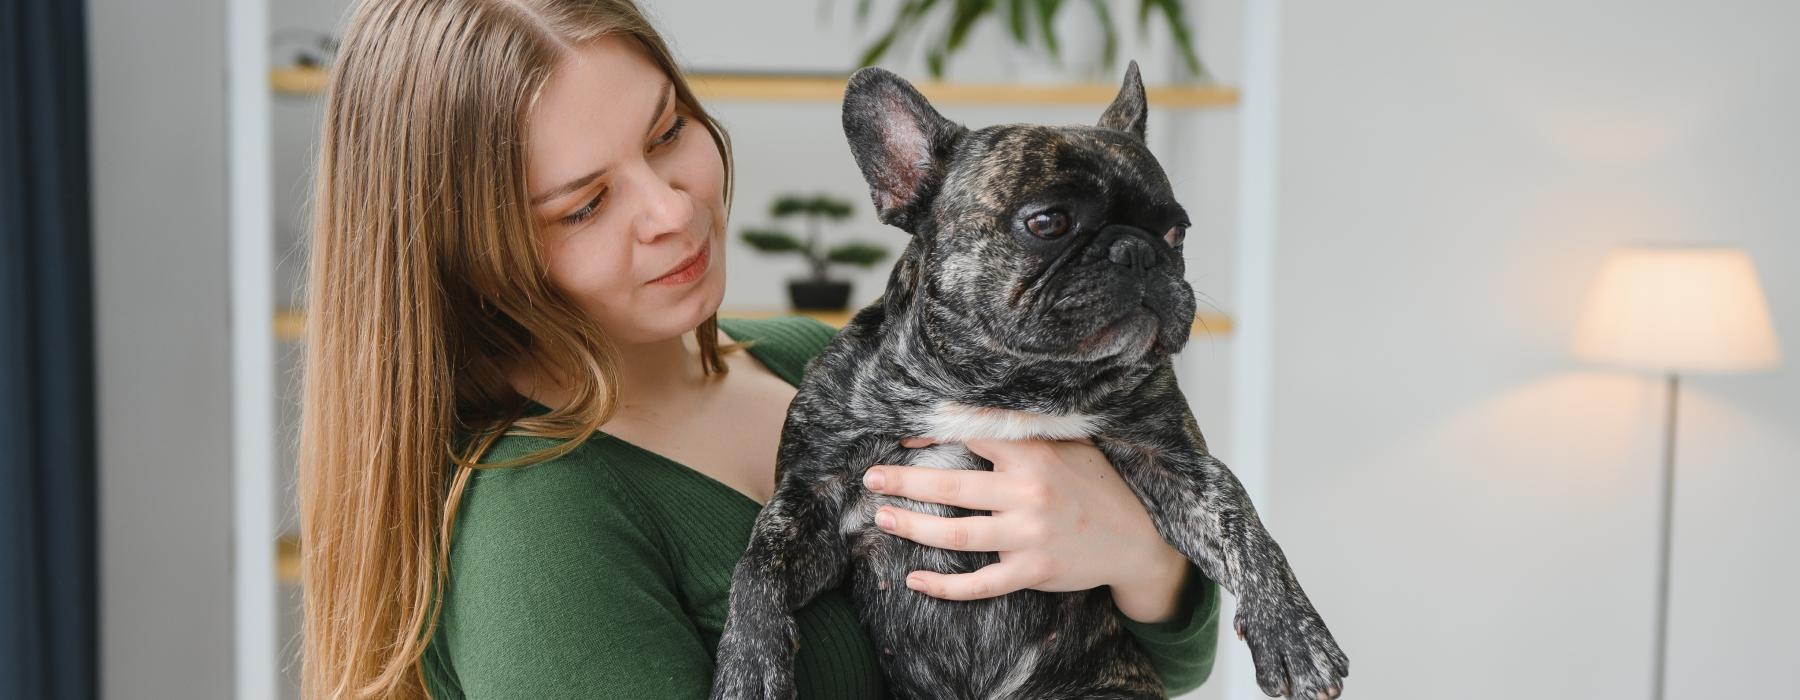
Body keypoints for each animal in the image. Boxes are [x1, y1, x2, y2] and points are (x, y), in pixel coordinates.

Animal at [709, 61, 1346, 698]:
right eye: (1048, 222)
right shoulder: (813, 494)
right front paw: (749, 666)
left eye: (1177, 233)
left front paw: (1295, 636)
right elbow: (758, 562)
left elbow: (1242, 522)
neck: (1004, 385)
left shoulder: (1172, 460)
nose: (1139, 251)